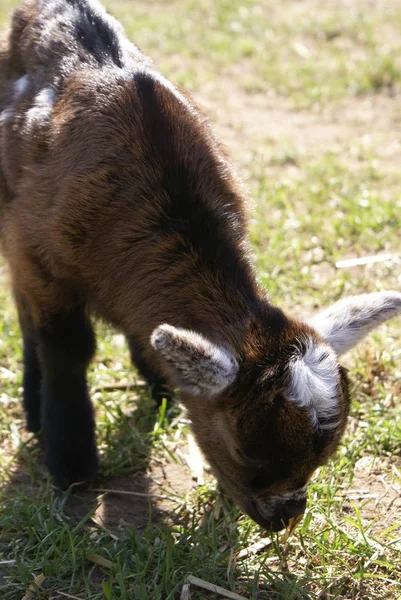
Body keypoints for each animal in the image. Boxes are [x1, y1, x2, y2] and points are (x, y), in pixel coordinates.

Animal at [0, 0, 400, 532]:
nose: (285, 518)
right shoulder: (38, 253)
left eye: (321, 459)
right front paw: (71, 465)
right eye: (247, 453)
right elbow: (65, 348)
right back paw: (34, 405)